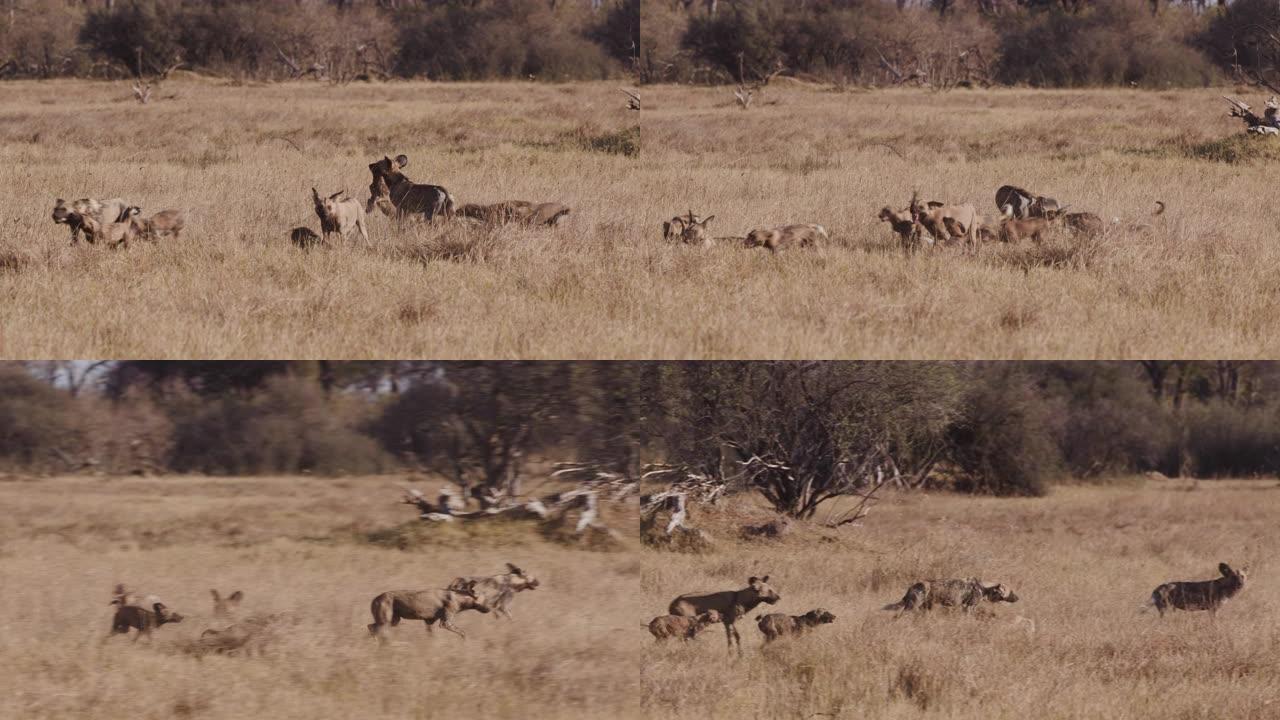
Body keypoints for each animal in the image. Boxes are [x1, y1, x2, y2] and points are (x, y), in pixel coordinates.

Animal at [880, 573, 1018, 614]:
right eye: (1011, 591)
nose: (1018, 598)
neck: (984, 588)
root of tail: (911, 587)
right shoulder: (969, 607)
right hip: (912, 607)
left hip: (925, 607)